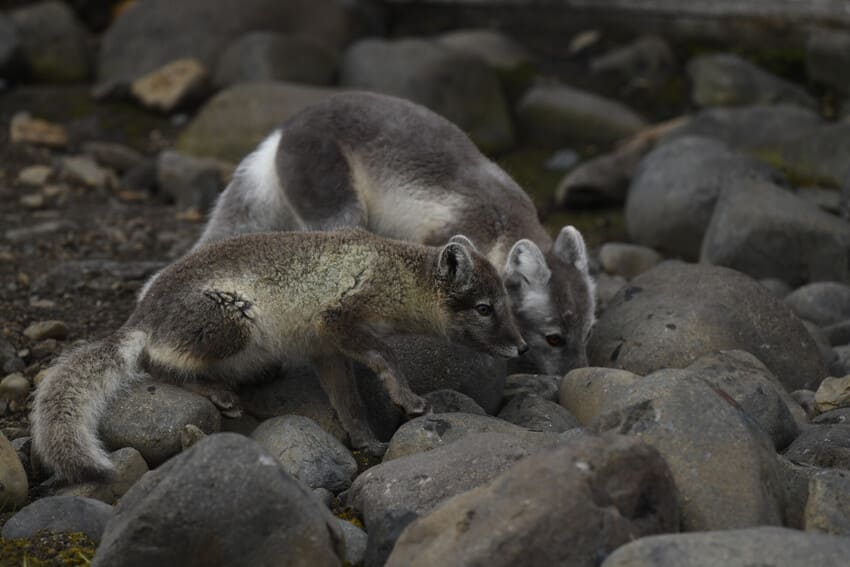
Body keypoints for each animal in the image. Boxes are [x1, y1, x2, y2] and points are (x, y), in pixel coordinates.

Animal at [32, 228, 526, 482]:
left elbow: (348, 403)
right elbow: (385, 354)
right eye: (485, 308)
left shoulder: (326, 350)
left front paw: (366, 441)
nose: (522, 346)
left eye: (507, 300)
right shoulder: (337, 318)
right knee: (156, 363)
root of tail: (141, 314)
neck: (396, 275)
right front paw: (406, 398)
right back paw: (218, 393)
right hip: (234, 321)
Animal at [178, 91, 595, 376]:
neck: (500, 222)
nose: (573, 376)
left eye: (587, 331)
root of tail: (282, 131)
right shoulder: (441, 243)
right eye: (554, 337)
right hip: (340, 209)